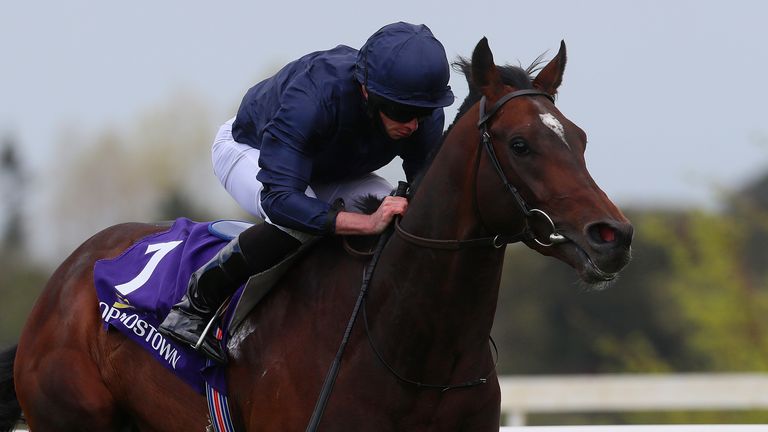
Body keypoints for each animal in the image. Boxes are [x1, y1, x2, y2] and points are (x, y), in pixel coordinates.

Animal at [0, 38, 632, 432]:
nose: (613, 235)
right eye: (520, 144)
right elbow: (283, 201)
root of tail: (69, 272)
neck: (411, 354)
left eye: (578, 138)